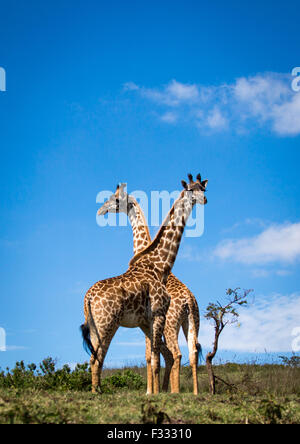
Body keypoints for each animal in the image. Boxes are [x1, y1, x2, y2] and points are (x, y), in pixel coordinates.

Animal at [81, 174, 207, 396]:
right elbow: (153, 358)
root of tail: (88, 297)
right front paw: (153, 393)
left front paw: (154, 392)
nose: (100, 210)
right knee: (97, 358)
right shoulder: (156, 316)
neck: (159, 264)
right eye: (191, 189)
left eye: (203, 189)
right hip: (109, 324)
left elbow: (153, 357)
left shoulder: (149, 320)